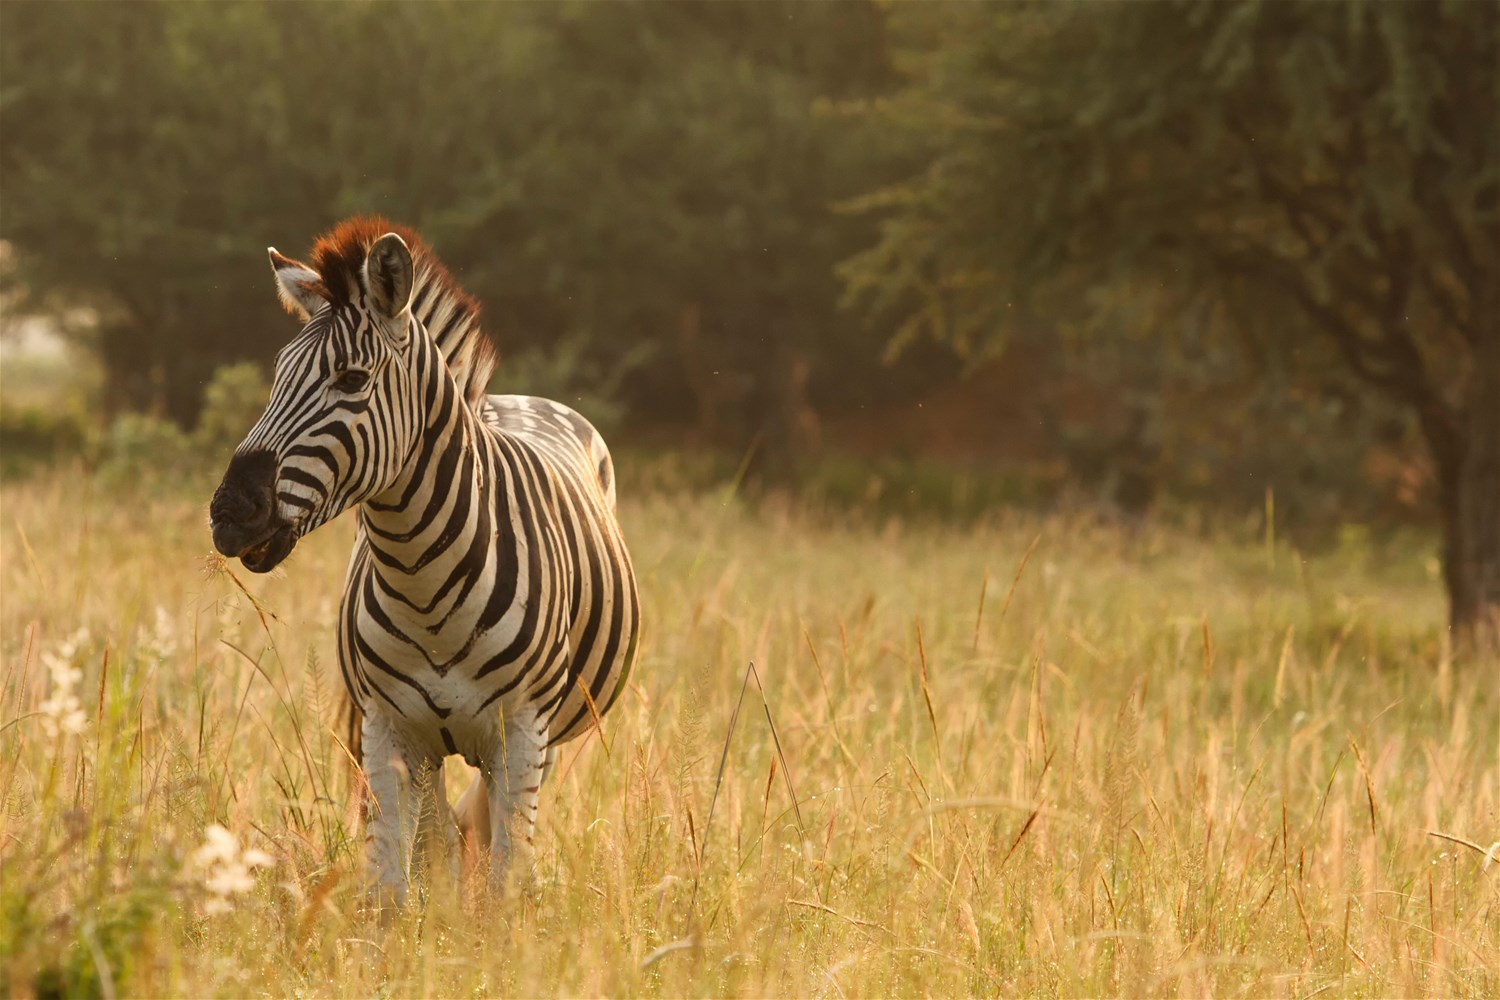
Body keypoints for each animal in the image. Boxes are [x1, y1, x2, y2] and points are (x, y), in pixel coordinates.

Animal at [207, 217, 639, 899]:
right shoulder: (390, 732)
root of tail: (513, 398)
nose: (229, 513)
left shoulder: (522, 734)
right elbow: (392, 885)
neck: (425, 584)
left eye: (352, 380)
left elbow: (505, 880)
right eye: (276, 378)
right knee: (441, 839)